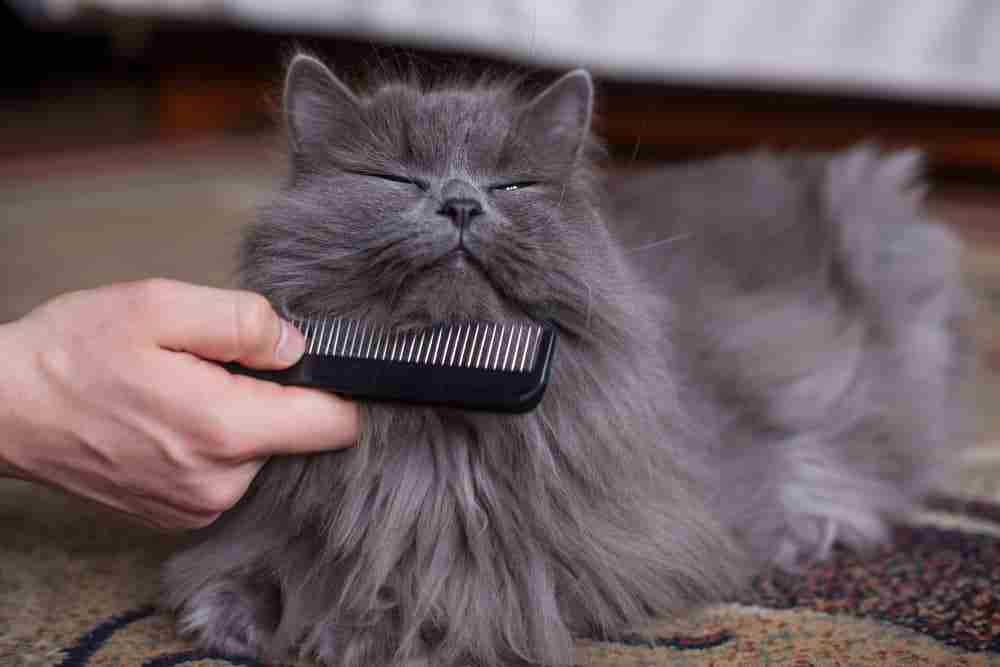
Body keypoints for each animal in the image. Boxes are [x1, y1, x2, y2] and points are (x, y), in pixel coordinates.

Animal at [164, 56, 976, 667]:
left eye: (512, 186)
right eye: (395, 179)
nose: (461, 203)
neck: (435, 435)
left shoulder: (630, 547)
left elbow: (479, 593)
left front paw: (357, 628)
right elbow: (254, 560)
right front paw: (245, 611)